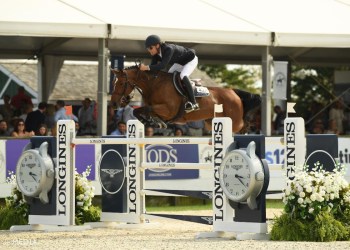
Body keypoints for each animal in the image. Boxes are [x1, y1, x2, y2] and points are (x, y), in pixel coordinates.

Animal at [110, 65, 262, 134]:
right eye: (114, 82)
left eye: (121, 83)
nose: (113, 103)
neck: (153, 85)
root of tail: (233, 92)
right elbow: (139, 111)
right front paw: (155, 122)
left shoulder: (168, 110)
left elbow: (145, 109)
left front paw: (155, 123)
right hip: (210, 122)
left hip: (234, 121)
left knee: (242, 125)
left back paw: (249, 130)